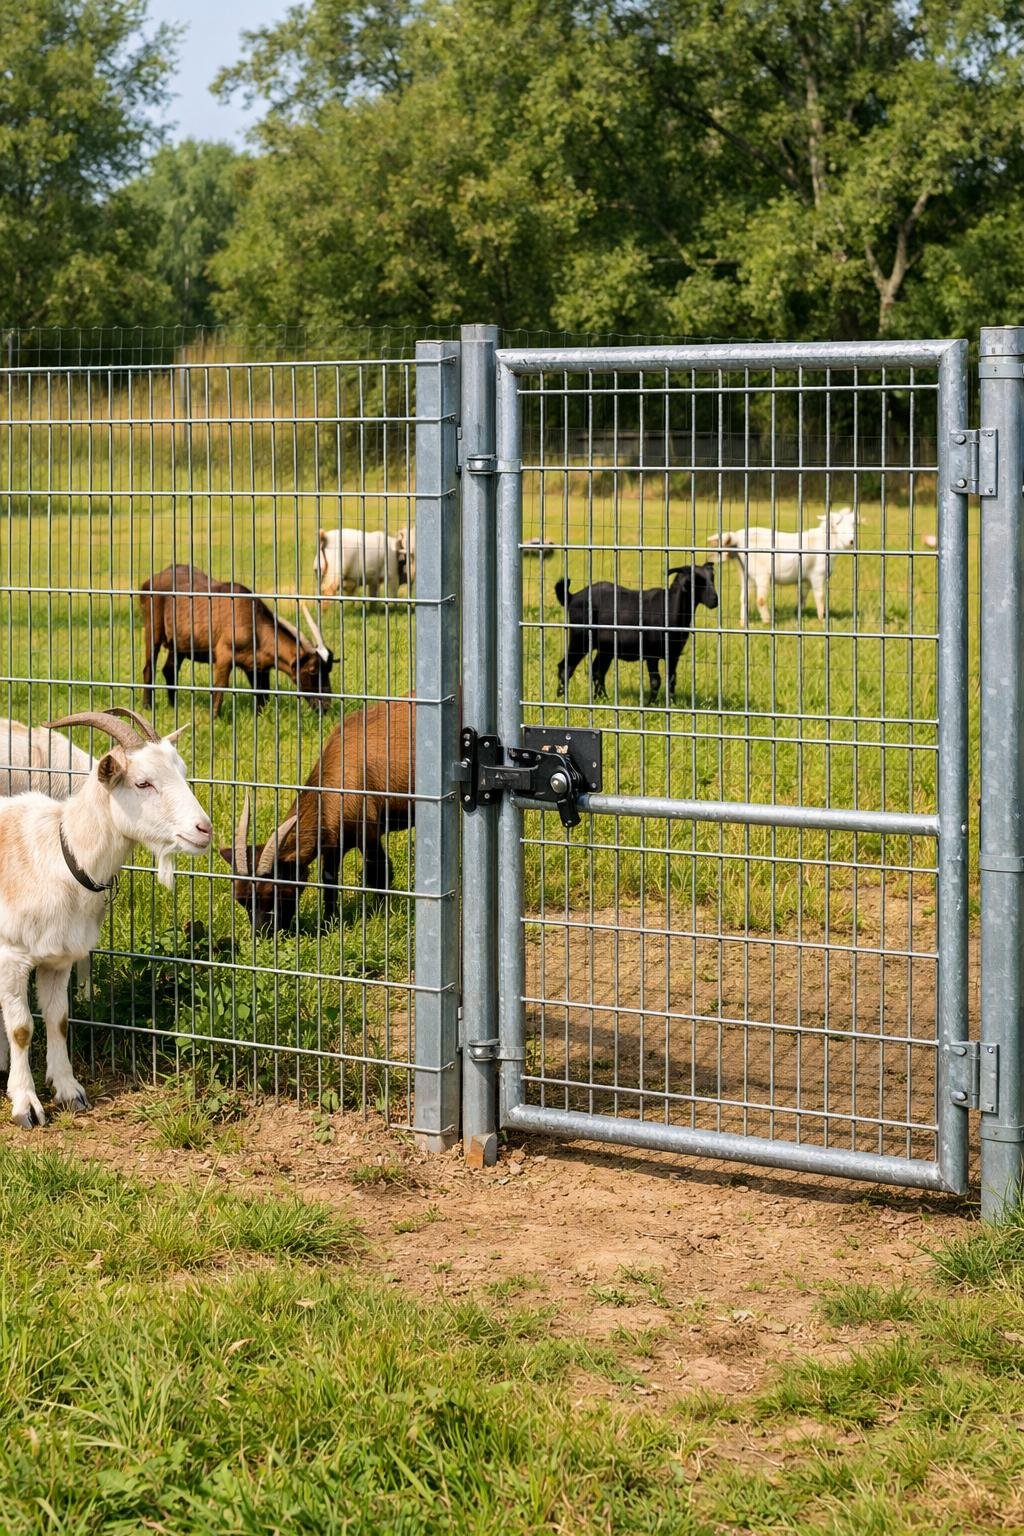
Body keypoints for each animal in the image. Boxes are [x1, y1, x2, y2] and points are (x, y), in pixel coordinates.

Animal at [0, 708, 212, 1128]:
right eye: (143, 782)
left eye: (181, 770)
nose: (204, 829)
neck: (63, 853)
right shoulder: (11, 954)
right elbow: (21, 1028)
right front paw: (26, 1104)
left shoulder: (58, 958)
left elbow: (59, 1019)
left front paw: (69, 1090)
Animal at [140, 565, 334, 716]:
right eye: (312, 670)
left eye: (329, 669)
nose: (325, 706)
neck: (255, 626)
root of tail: (149, 582)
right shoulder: (224, 655)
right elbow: (220, 687)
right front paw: (214, 719)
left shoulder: (257, 667)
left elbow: (263, 694)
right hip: (152, 627)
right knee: (149, 667)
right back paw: (147, 707)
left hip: (180, 643)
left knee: (169, 669)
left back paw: (173, 706)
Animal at [219, 698, 415, 933]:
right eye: (241, 900)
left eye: (273, 894)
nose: (261, 934)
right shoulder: (333, 841)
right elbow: (329, 881)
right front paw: (329, 924)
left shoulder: (368, 832)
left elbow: (380, 873)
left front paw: (381, 915)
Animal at [555, 563, 719, 701]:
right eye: (695, 580)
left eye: (712, 578)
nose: (715, 600)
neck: (670, 609)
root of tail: (572, 597)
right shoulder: (651, 654)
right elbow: (656, 681)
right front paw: (650, 704)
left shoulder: (674, 654)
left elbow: (671, 680)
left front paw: (672, 704)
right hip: (579, 637)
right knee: (566, 667)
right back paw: (562, 698)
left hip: (605, 647)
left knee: (597, 671)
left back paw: (603, 699)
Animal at [710, 508, 856, 625]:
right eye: (836, 524)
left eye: (853, 525)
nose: (851, 541)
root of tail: (738, 538)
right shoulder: (817, 575)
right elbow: (819, 597)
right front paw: (823, 619)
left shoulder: (805, 579)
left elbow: (802, 597)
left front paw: (798, 615)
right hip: (761, 574)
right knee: (760, 599)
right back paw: (767, 621)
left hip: (745, 573)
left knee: (744, 599)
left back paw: (743, 623)